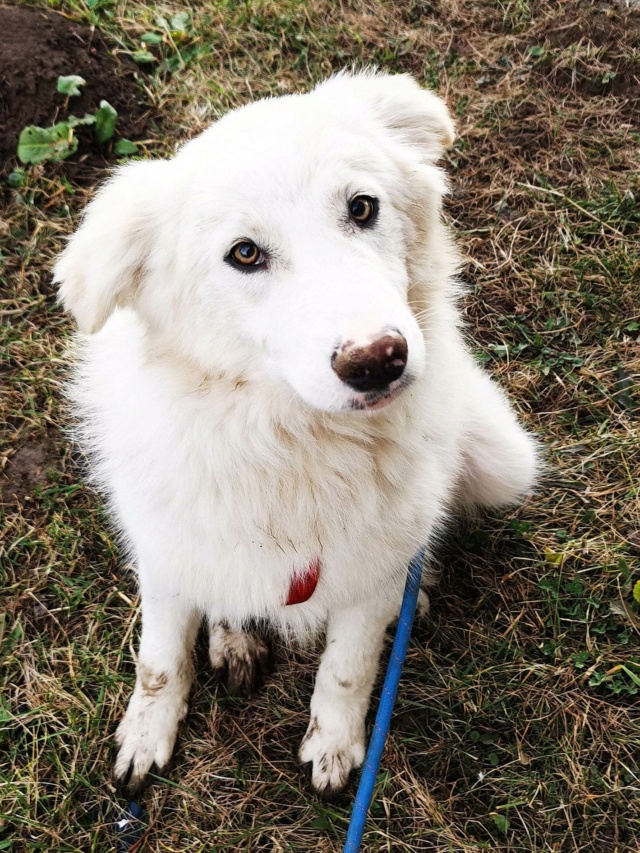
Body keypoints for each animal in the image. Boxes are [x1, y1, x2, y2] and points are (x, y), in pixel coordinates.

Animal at [52, 73, 536, 800]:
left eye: (362, 208)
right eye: (245, 254)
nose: (377, 360)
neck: (295, 443)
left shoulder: (368, 575)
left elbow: (348, 667)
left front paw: (334, 746)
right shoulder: (166, 552)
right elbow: (159, 661)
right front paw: (146, 735)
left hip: (506, 458)